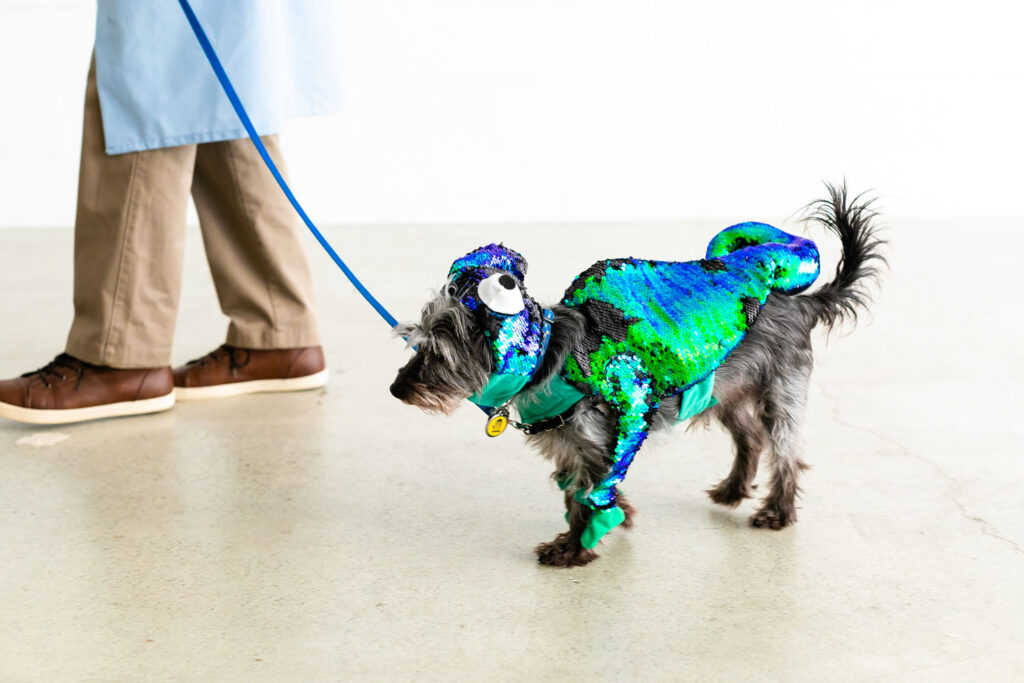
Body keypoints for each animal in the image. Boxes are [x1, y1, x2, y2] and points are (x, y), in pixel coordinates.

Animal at [387, 184, 884, 569]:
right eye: (416, 345)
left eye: (436, 354)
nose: (395, 389)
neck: (548, 358)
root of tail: (803, 302)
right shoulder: (572, 449)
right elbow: (579, 493)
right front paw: (613, 517)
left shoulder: (603, 441)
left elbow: (590, 496)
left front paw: (574, 549)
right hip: (726, 394)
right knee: (750, 439)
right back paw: (731, 490)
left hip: (779, 394)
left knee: (785, 453)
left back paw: (777, 511)